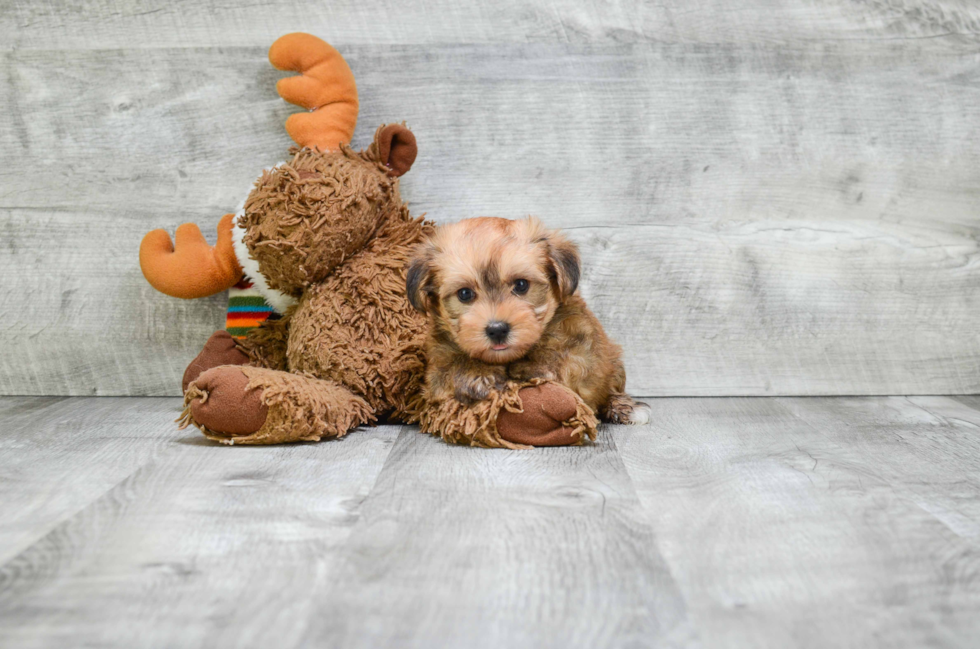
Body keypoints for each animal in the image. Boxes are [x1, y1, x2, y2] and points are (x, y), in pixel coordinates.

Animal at [408, 215, 652, 422]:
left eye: (521, 285)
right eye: (465, 294)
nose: (497, 329)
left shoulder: (583, 347)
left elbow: (566, 363)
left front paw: (532, 367)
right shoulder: (436, 371)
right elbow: (448, 371)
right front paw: (475, 373)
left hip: (613, 360)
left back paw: (622, 406)